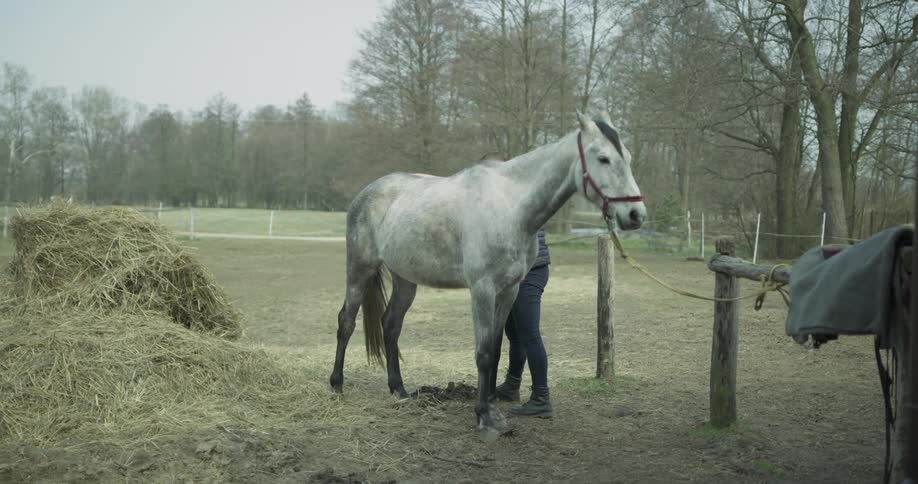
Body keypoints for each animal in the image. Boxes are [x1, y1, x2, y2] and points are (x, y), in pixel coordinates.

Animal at [329, 110, 646, 441]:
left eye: (627, 157)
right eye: (603, 158)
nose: (636, 214)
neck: (511, 208)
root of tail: (366, 192)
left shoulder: (509, 290)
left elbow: (494, 349)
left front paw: (492, 407)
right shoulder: (482, 289)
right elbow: (482, 352)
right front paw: (483, 417)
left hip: (406, 279)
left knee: (391, 325)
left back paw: (399, 390)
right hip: (360, 269)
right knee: (346, 321)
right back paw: (337, 385)